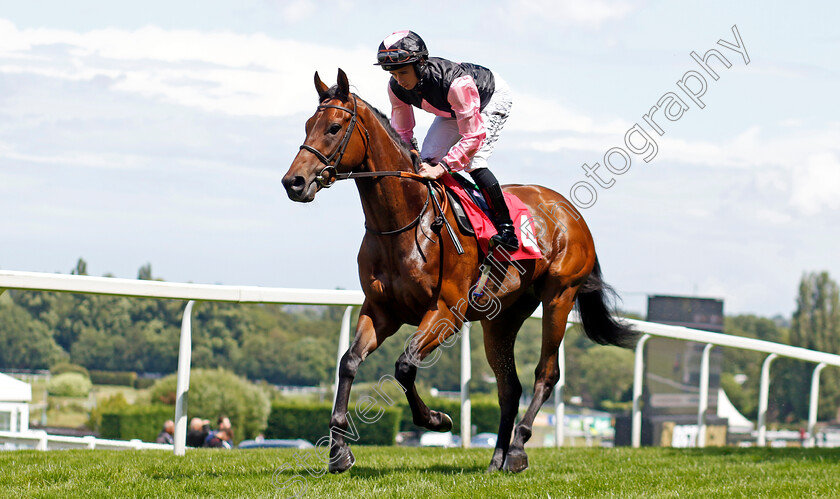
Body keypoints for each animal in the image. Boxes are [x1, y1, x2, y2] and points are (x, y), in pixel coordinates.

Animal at [282, 69, 636, 472]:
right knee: (509, 387)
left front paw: (437, 419)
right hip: (501, 318)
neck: (404, 223)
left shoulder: (446, 312)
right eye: (307, 124)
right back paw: (497, 459)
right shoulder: (381, 310)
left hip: (559, 296)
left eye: (334, 127)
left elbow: (404, 365)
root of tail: (570, 212)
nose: (293, 182)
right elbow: (349, 362)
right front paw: (339, 451)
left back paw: (517, 449)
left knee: (546, 374)